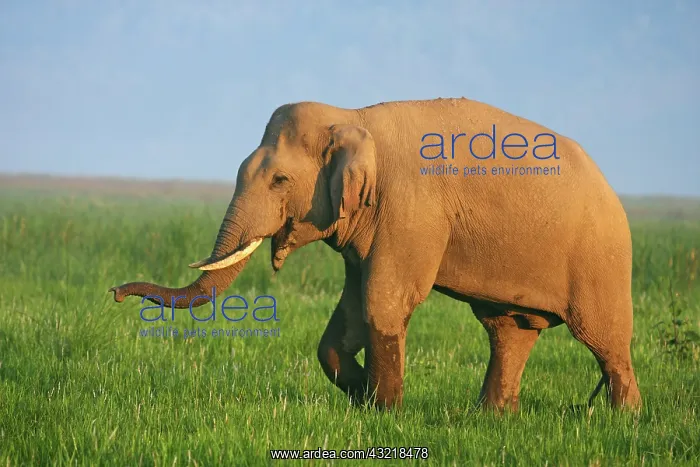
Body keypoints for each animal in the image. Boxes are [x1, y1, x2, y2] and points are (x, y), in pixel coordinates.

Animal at [109, 97, 642, 412]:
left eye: (279, 180)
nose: (114, 293)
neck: (351, 116)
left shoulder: (410, 209)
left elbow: (384, 300)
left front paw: (386, 413)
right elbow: (347, 313)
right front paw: (362, 396)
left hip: (603, 259)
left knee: (605, 341)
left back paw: (624, 420)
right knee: (507, 332)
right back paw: (491, 417)